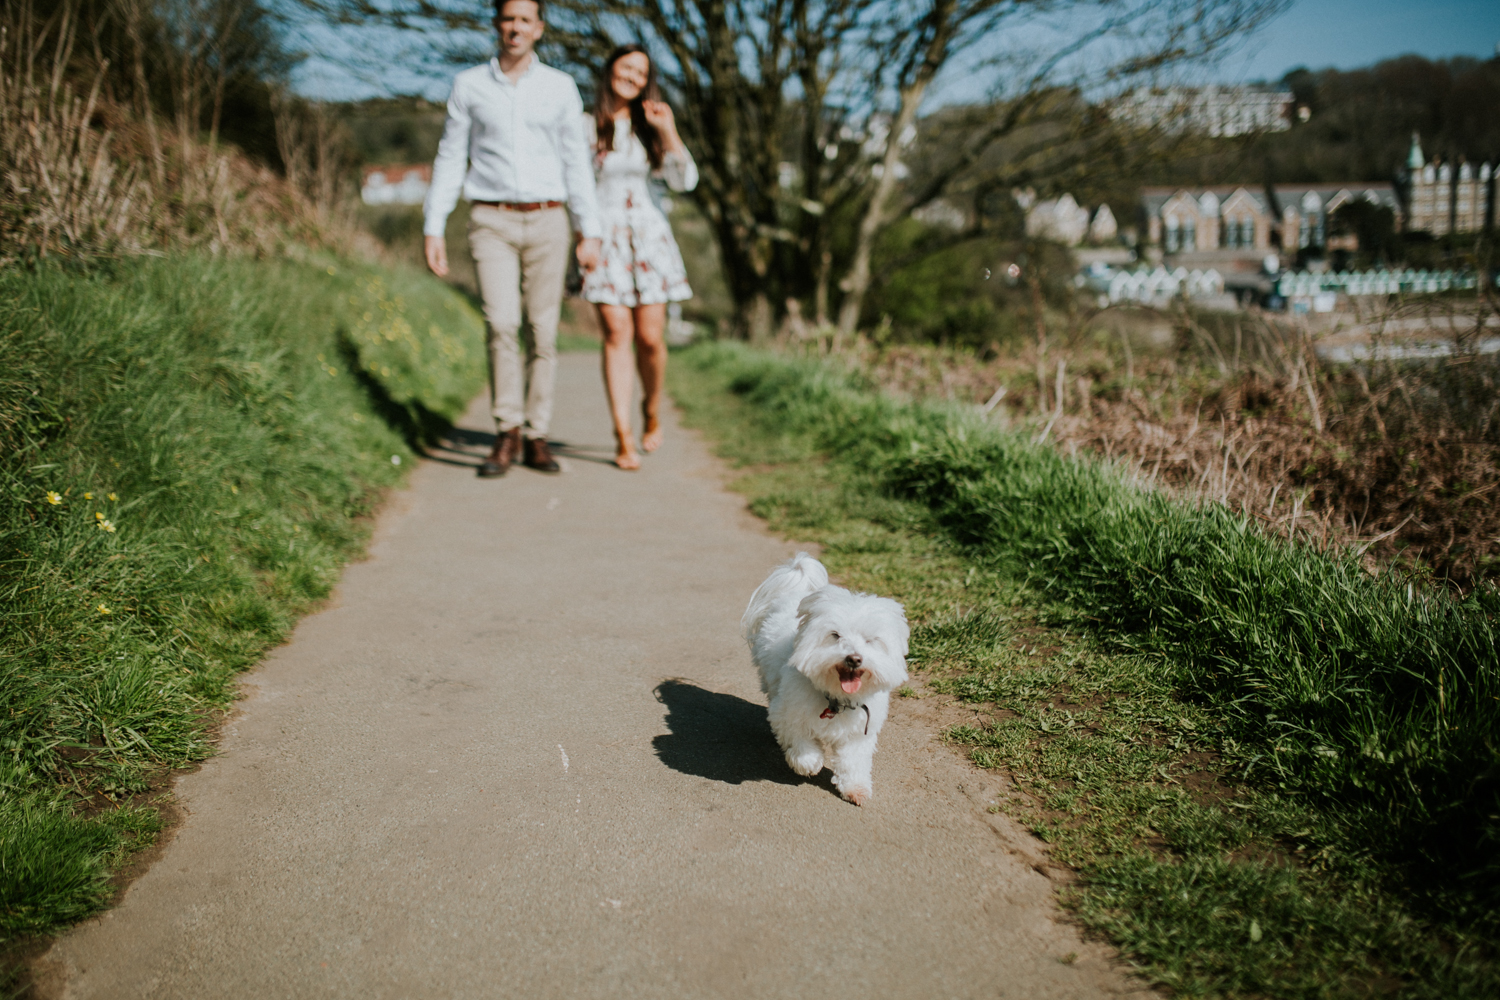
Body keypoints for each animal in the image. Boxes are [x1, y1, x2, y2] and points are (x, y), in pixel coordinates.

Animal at [744, 554, 906, 803]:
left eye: (871, 640)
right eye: (835, 635)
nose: (854, 659)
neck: (837, 699)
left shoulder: (859, 733)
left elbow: (853, 762)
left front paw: (855, 788)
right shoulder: (790, 713)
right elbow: (800, 741)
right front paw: (808, 762)